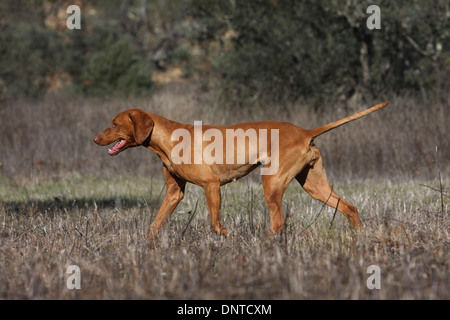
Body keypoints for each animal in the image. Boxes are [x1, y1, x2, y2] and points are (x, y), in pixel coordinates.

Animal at [93, 101, 388, 239]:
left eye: (114, 123)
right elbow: (154, 225)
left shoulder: (211, 185)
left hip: (271, 184)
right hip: (316, 186)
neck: (168, 138)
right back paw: (359, 236)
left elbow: (215, 224)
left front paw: (230, 236)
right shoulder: (174, 193)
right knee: (349, 207)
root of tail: (305, 131)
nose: (95, 139)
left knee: (277, 222)